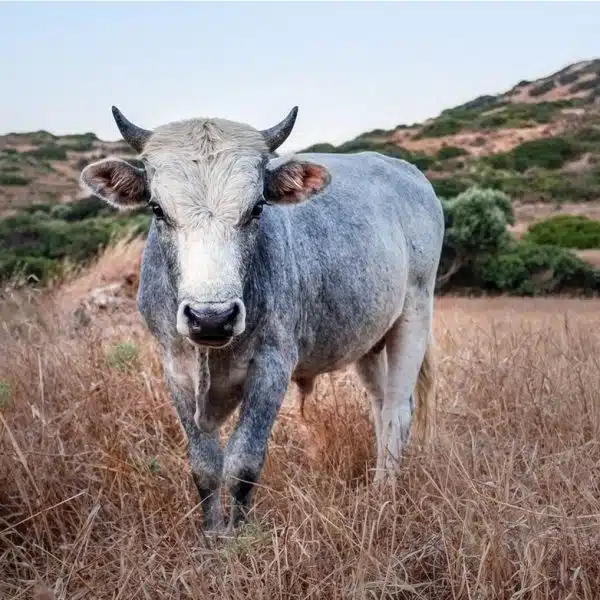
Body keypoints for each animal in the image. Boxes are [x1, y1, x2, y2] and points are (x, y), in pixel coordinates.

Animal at [79, 105, 446, 532]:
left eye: (256, 208)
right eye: (157, 208)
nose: (211, 318)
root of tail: (408, 173)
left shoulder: (272, 366)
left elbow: (242, 464)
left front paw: (239, 538)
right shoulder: (175, 369)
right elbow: (205, 466)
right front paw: (212, 536)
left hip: (415, 316)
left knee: (397, 411)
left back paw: (384, 495)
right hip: (369, 341)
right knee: (380, 405)